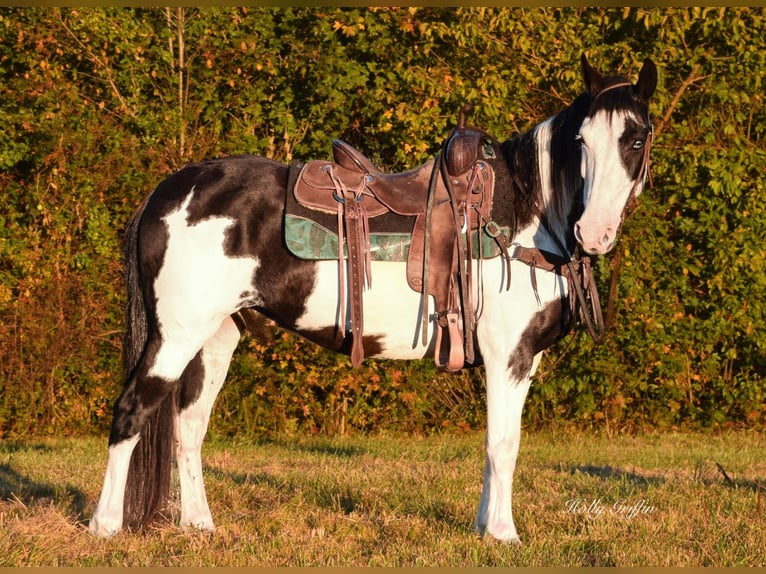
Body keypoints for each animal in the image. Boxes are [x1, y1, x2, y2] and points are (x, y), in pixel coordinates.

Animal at [88, 55, 656, 544]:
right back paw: (105, 525)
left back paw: (199, 525)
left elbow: (494, 443)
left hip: (216, 337)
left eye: (635, 139)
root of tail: (168, 190)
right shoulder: (507, 355)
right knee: (131, 411)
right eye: (581, 141)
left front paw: (482, 527)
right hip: (176, 335)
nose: (594, 232)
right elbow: (503, 444)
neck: (523, 214)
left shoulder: (523, 359)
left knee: (189, 425)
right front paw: (503, 534)